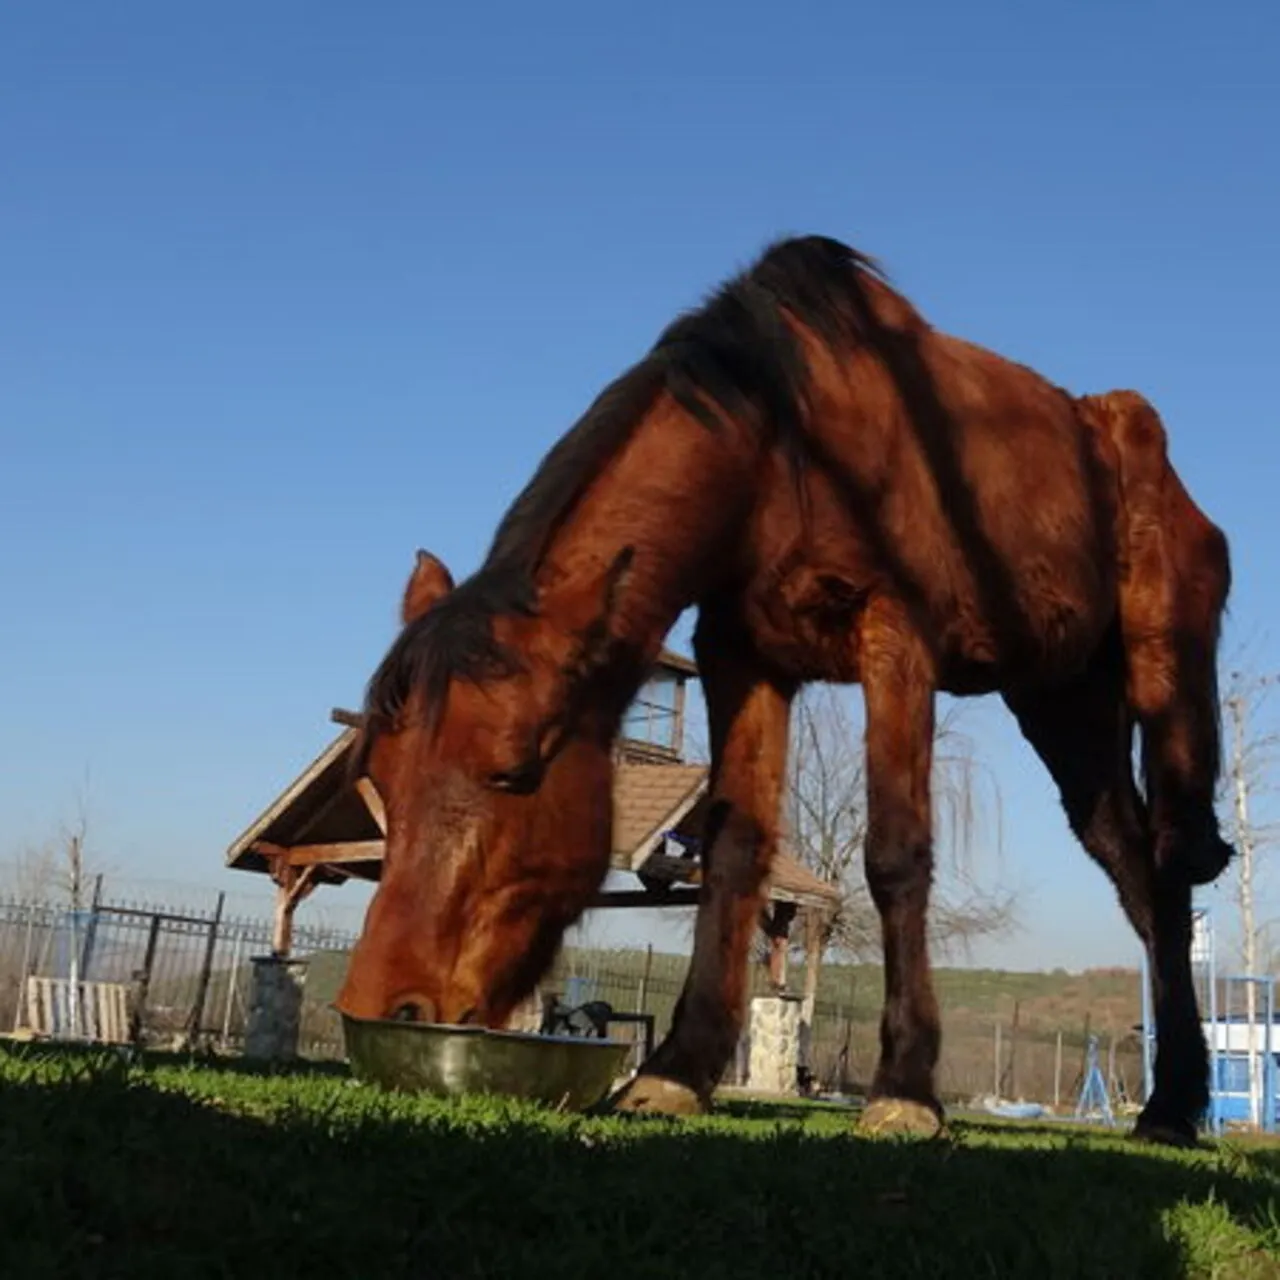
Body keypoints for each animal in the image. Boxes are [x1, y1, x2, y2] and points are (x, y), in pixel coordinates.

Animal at [337, 235, 1228, 1146]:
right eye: (381, 780)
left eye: (515, 771)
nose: (382, 1002)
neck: (780, 446)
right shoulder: (742, 654)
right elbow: (735, 853)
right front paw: (676, 1070)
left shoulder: (895, 637)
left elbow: (896, 853)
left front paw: (905, 1087)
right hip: (1063, 702)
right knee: (1139, 875)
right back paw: (1173, 1097)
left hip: (1161, 676)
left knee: (1170, 862)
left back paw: (1173, 1103)